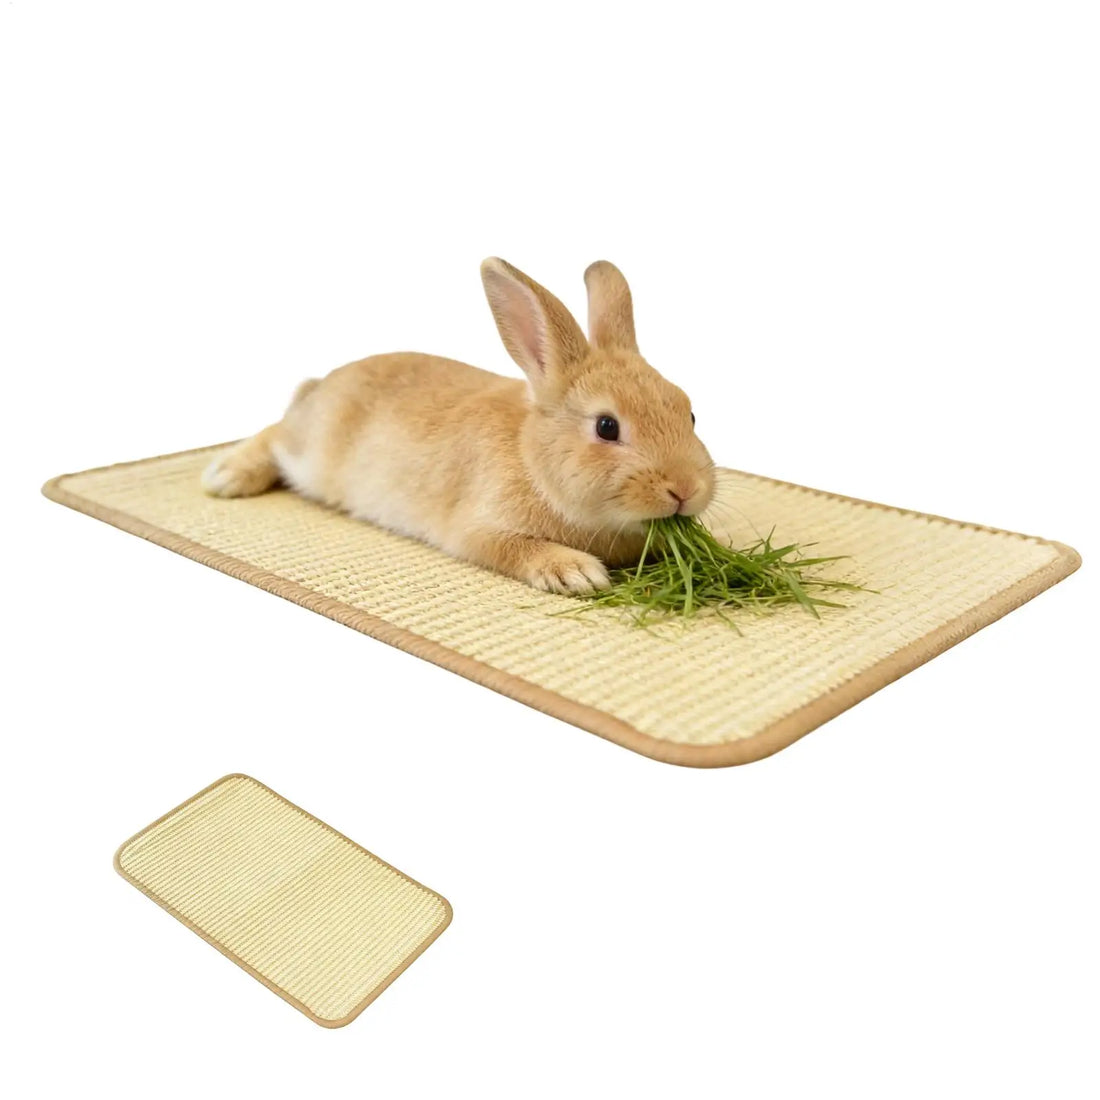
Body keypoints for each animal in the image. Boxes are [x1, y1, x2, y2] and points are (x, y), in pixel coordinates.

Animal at [201, 258, 716, 594]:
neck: (533, 459)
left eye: (689, 413)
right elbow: (511, 548)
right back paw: (224, 477)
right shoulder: (478, 530)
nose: (685, 489)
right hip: (309, 451)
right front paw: (575, 573)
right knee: (273, 436)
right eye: (607, 427)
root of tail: (322, 384)